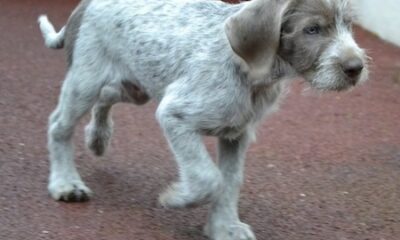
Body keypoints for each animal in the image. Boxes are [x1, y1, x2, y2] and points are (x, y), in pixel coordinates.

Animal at [37, 0, 368, 239]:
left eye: (349, 24)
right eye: (312, 30)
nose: (356, 68)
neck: (250, 72)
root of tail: (87, 3)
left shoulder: (237, 135)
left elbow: (230, 181)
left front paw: (224, 227)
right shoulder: (175, 115)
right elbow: (209, 178)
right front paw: (176, 197)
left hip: (134, 87)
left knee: (105, 98)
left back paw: (98, 137)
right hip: (85, 81)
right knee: (58, 125)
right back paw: (65, 183)